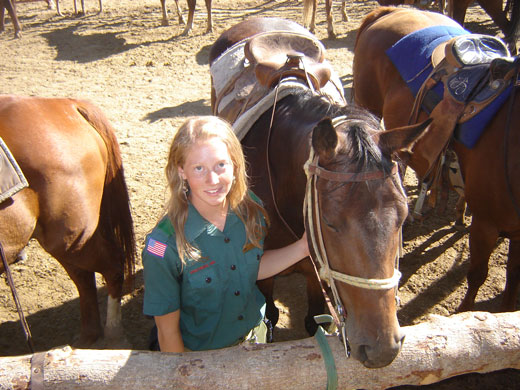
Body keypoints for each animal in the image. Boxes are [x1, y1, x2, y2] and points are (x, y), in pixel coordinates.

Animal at [0, 95, 136, 348]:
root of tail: (69, 104)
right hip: (70, 237)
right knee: (84, 276)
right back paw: (88, 337)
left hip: (71, 236)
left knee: (108, 266)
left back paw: (112, 334)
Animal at [209, 16, 432, 368]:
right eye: (329, 222)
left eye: (403, 217)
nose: (383, 348)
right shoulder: (260, 272)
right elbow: (268, 320)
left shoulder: (316, 269)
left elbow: (314, 321)